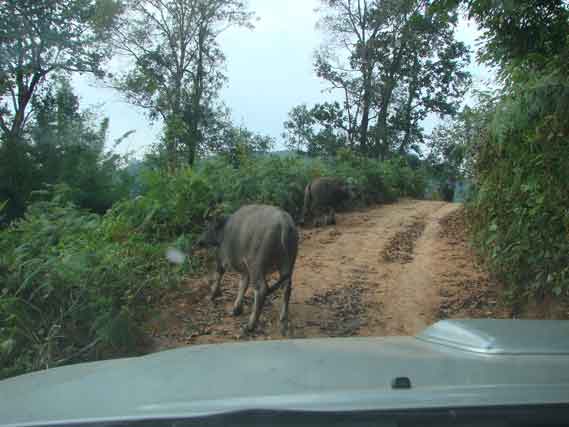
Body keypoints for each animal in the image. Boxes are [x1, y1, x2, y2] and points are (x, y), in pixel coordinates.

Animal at [195, 204, 299, 335]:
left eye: (207, 227)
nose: (200, 241)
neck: (225, 229)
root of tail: (284, 223)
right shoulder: (245, 269)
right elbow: (243, 284)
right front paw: (236, 308)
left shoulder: (225, 258)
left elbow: (219, 274)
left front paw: (212, 295)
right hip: (287, 264)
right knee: (286, 287)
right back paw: (283, 320)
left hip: (256, 265)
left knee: (261, 289)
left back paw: (250, 325)